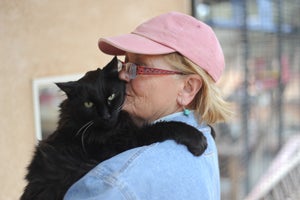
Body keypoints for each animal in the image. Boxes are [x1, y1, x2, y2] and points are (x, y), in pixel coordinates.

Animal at [21, 56, 209, 200]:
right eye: (88, 104)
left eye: (111, 96)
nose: (106, 115)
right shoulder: (127, 141)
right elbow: (163, 126)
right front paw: (198, 139)